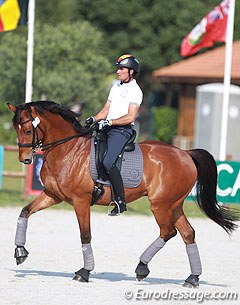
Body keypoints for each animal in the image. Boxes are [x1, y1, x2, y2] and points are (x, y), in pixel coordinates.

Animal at [8, 101, 239, 286]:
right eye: (16, 129)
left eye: (27, 130)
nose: (25, 159)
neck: (68, 149)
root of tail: (186, 153)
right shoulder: (52, 195)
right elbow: (25, 211)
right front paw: (20, 251)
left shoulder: (80, 201)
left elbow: (85, 234)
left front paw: (84, 272)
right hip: (174, 205)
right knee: (187, 233)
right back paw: (192, 278)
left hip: (160, 205)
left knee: (168, 232)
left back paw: (142, 267)